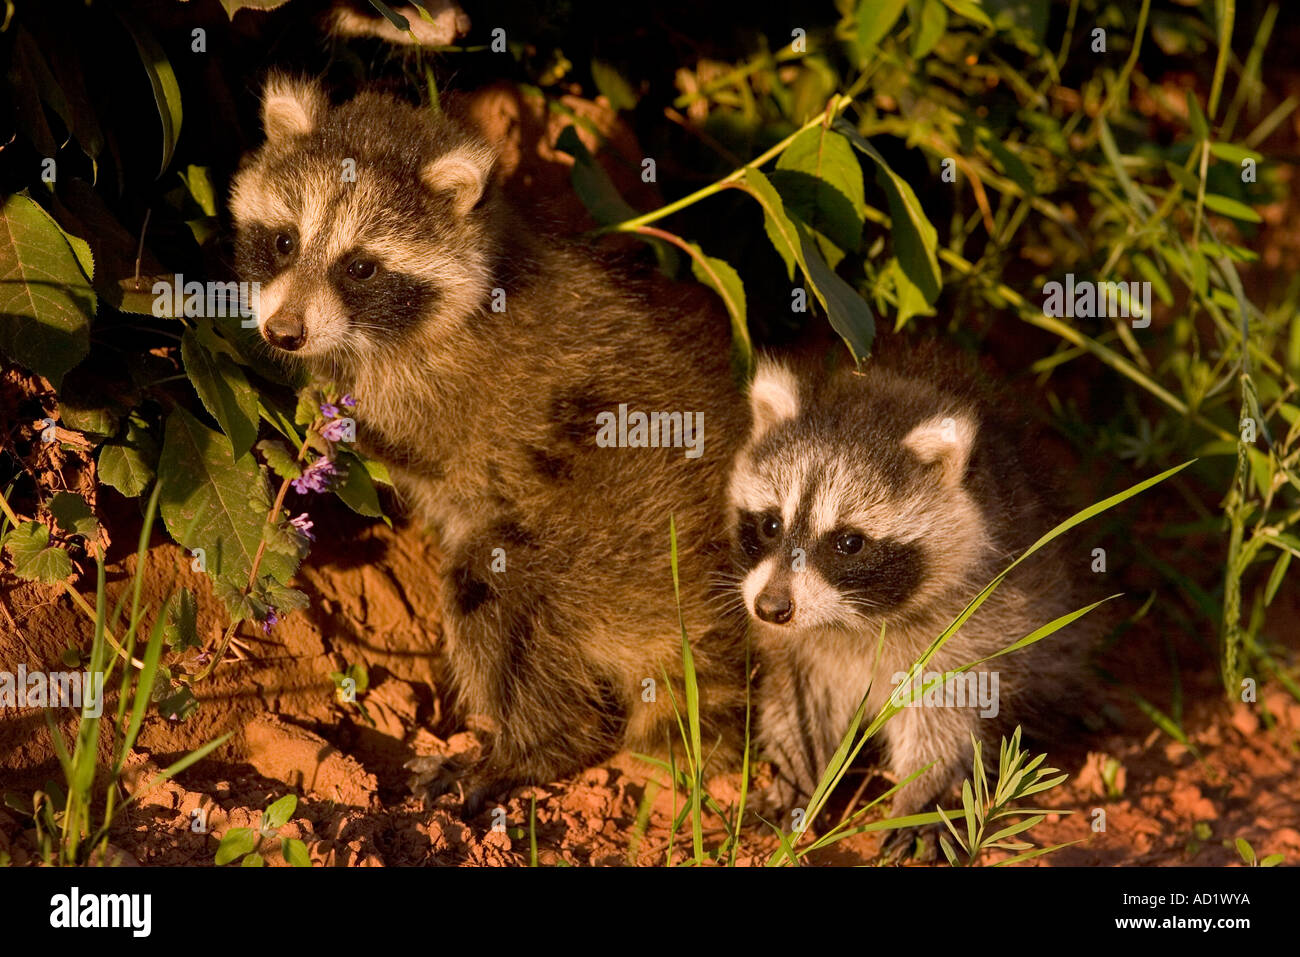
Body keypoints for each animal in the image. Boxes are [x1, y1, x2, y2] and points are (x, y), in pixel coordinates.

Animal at [230, 76, 750, 810]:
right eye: (283, 240)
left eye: (360, 267)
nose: (283, 332)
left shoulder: (440, 387)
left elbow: (401, 437)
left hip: (614, 551)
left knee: (498, 600)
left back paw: (528, 747)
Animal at [727, 350, 1091, 829]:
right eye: (770, 525)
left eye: (849, 543)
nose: (771, 608)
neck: (855, 621)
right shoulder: (795, 644)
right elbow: (798, 699)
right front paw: (795, 771)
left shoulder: (981, 618)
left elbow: (942, 712)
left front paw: (922, 797)